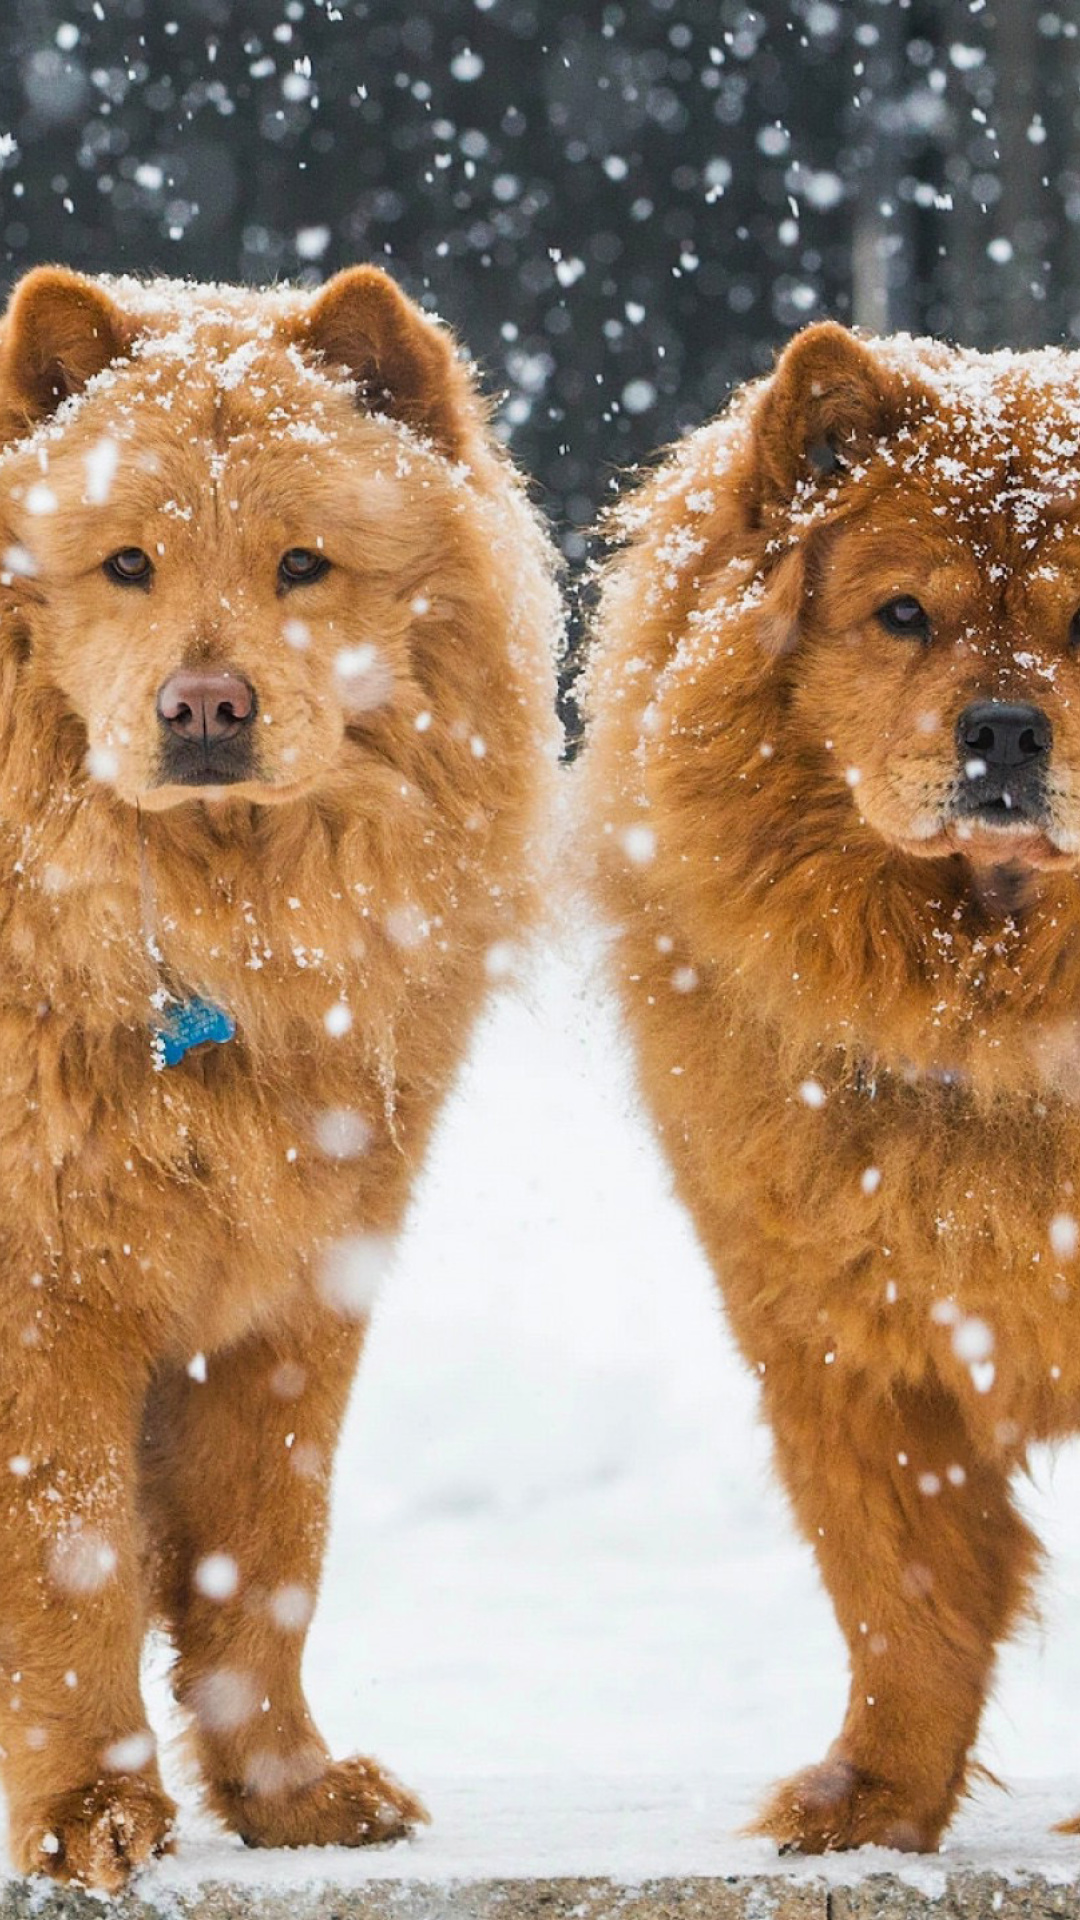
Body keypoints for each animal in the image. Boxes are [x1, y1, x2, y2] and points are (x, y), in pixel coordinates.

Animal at [0, 266, 557, 1889]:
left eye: (302, 565)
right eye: (126, 564)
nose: (204, 705)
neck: (213, 935)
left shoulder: (296, 1290)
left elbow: (266, 1559)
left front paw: (292, 1796)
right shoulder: (46, 1296)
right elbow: (74, 1569)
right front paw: (90, 1812)